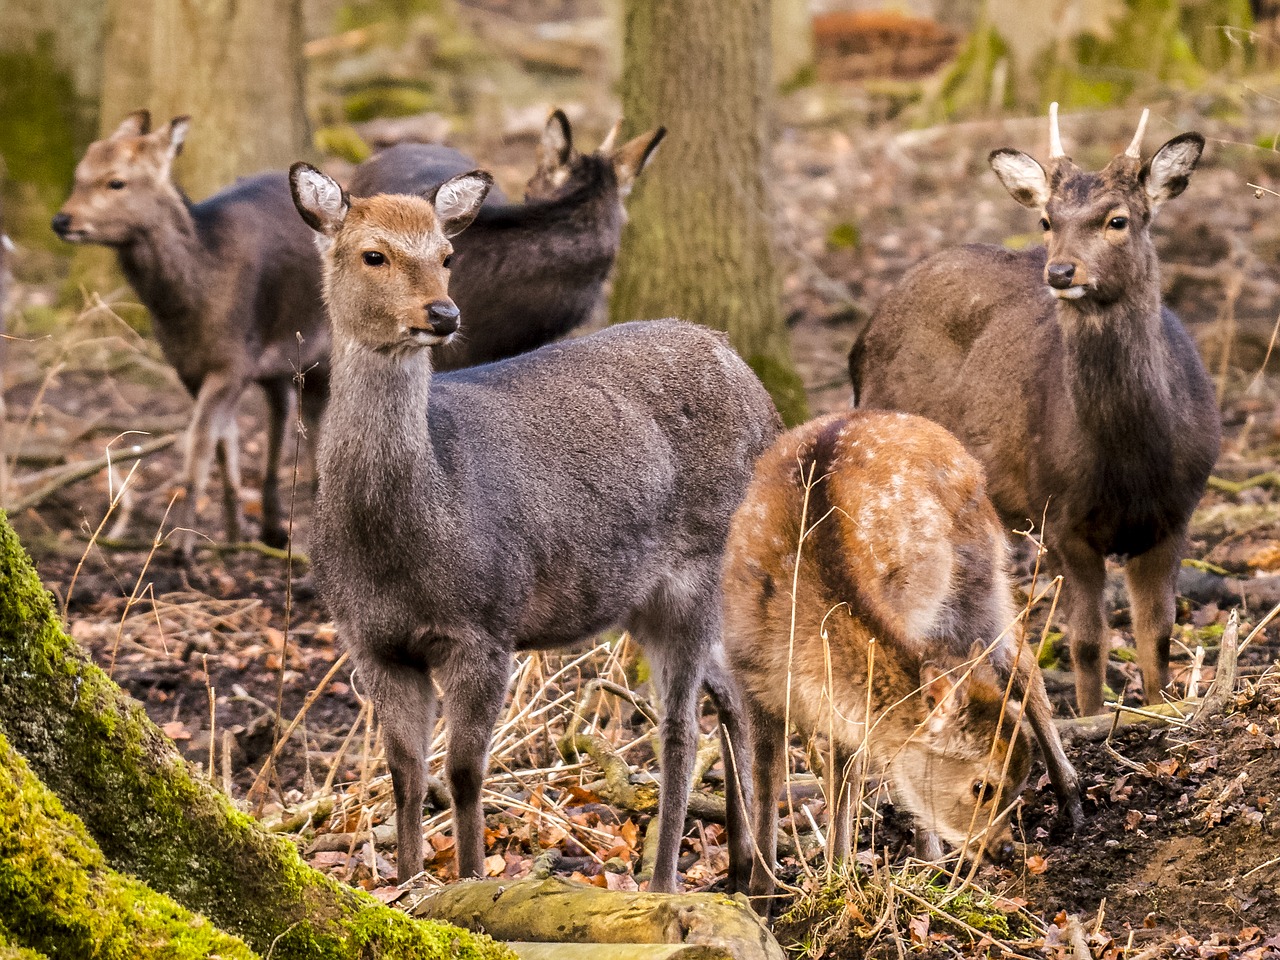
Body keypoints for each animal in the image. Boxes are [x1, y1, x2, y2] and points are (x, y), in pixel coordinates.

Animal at [51, 112, 330, 560]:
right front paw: (232, 534)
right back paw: (271, 527)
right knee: (282, 411)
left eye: (116, 181)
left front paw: (182, 547)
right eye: (79, 175)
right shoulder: (190, 367)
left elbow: (199, 444)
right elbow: (224, 442)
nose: (61, 220)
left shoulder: (233, 361)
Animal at [288, 161, 778, 890]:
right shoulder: (370, 641)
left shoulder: (486, 625)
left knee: (681, 727)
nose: (443, 314)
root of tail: (754, 384)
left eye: (447, 255)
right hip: (657, 597)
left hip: (700, 566)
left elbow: (464, 772)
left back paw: (669, 882)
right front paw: (404, 880)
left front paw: (470, 880)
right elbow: (405, 772)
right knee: (734, 696)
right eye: (373, 254)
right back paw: (748, 870)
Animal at [721, 412, 1080, 911]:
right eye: (983, 786)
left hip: (982, 575)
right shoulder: (749, 678)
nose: (1004, 849)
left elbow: (846, 776)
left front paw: (838, 879)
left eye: (1018, 787)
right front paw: (761, 897)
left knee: (1023, 662)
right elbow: (768, 781)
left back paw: (1069, 802)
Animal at [849, 106, 1218, 721]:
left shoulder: (1175, 515)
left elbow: (1157, 634)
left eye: (1118, 219)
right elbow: (1087, 642)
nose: (1061, 272)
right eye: (1046, 220)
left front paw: (1161, 707)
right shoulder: (1061, 516)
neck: (1133, 461)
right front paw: (1094, 720)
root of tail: (861, 337)